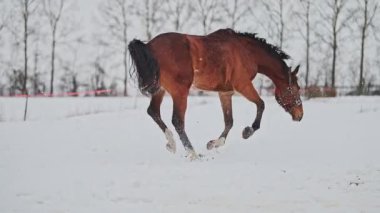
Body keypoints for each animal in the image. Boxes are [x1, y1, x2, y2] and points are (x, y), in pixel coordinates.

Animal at [129, 28, 304, 160]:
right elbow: (261, 105)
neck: (246, 52)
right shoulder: (243, 85)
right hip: (180, 92)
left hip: (161, 89)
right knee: (177, 121)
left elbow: (229, 121)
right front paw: (247, 131)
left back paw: (171, 144)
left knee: (153, 111)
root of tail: (150, 46)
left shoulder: (225, 93)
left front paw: (213, 144)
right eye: (296, 89)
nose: (300, 115)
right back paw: (192, 153)